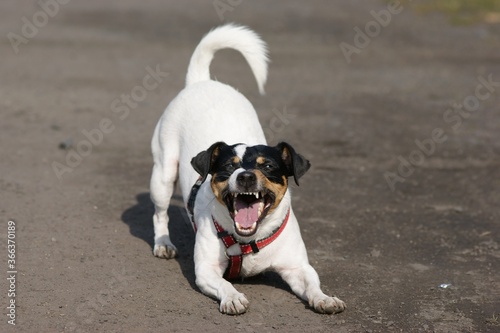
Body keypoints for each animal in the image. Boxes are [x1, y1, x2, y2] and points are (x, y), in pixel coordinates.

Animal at [148, 23, 346, 314]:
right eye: (228, 167)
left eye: (269, 166)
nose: (246, 177)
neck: (248, 240)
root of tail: (202, 81)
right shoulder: (206, 270)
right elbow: (224, 283)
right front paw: (232, 297)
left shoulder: (298, 268)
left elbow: (312, 284)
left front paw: (324, 298)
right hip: (163, 174)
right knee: (160, 213)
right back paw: (163, 242)